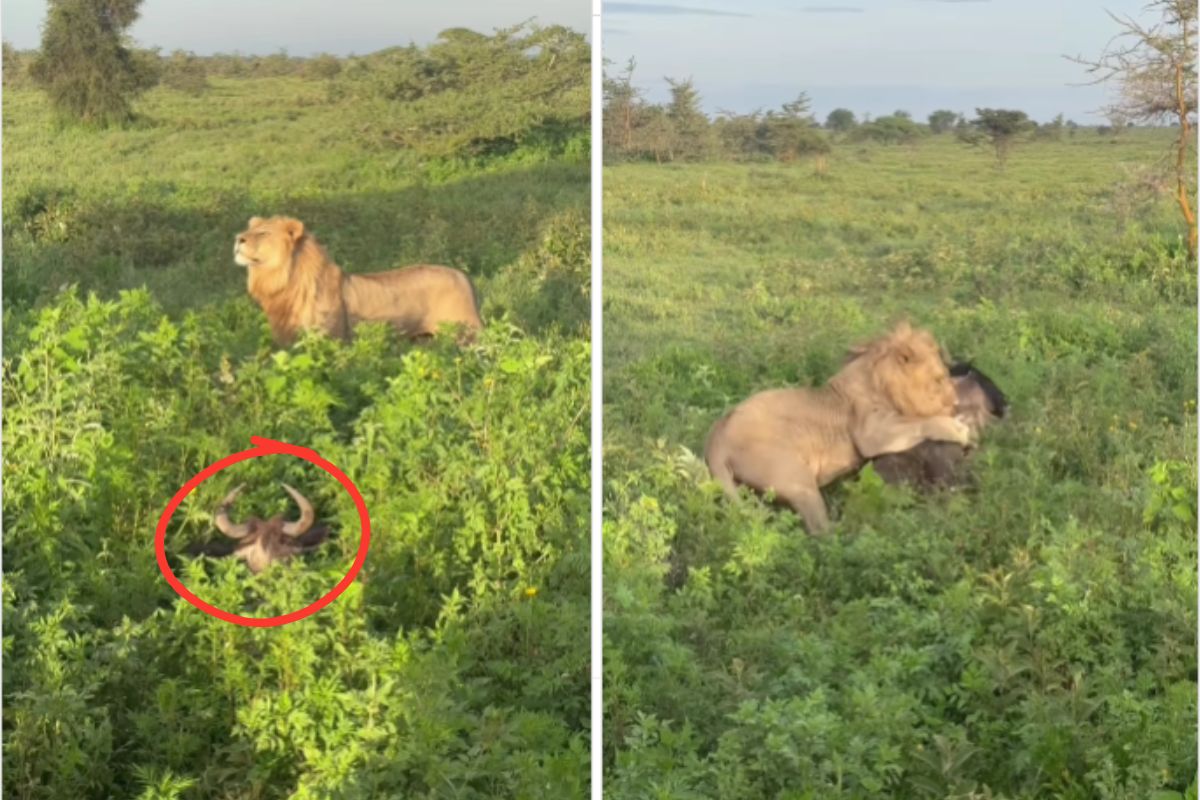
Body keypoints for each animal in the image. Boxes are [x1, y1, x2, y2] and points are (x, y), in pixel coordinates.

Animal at [234, 216, 483, 347]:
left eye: (264, 233)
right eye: (249, 229)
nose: (238, 238)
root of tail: (464, 276)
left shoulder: (329, 340)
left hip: (465, 336)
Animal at [703, 322, 972, 533]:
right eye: (939, 378)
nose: (956, 403)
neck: (877, 382)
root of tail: (715, 439)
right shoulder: (871, 434)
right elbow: (918, 422)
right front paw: (958, 429)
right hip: (798, 480)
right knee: (820, 531)